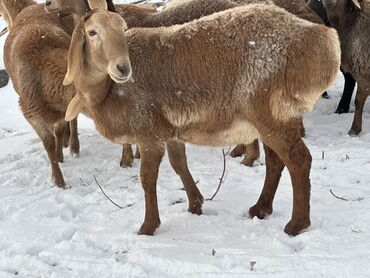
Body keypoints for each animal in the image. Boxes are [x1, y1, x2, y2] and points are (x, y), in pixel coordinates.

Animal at [62, 4, 342, 235]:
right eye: (92, 32)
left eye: (122, 28)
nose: (123, 68)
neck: (107, 91)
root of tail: (320, 39)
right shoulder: (170, 130)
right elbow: (179, 165)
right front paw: (196, 204)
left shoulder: (148, 132)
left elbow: (147, 179)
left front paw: (148, 226)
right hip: (274, 117)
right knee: (275, 161)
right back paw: (260, 208)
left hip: (271, 111)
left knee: (298, 160)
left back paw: (297, 224)